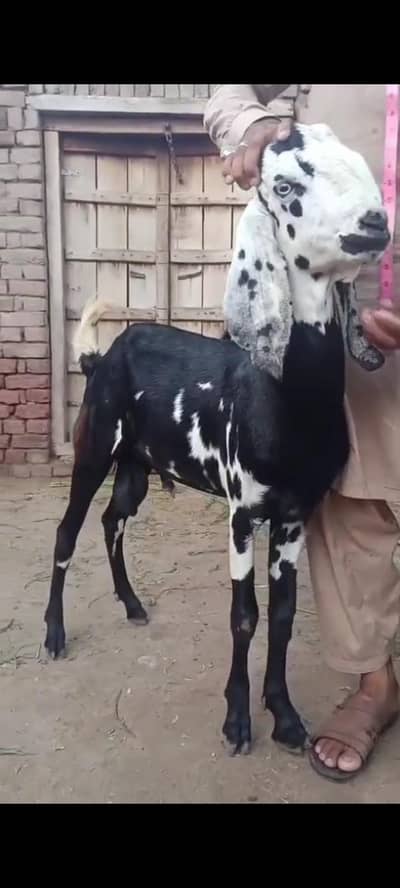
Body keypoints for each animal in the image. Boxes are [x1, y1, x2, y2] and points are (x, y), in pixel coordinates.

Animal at [44, 123, 389, 756]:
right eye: (284, 184)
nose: (376, 222)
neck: (285, 399)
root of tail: (100, 357)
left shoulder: (294, 513)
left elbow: (283, 613)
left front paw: (285, 716)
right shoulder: (242, 513)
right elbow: (244, 615)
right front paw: (237, 721)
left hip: (136, 467)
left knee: (113, 521)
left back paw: (132, 604)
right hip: (94, 449)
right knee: (68, 530)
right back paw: (53, 634)